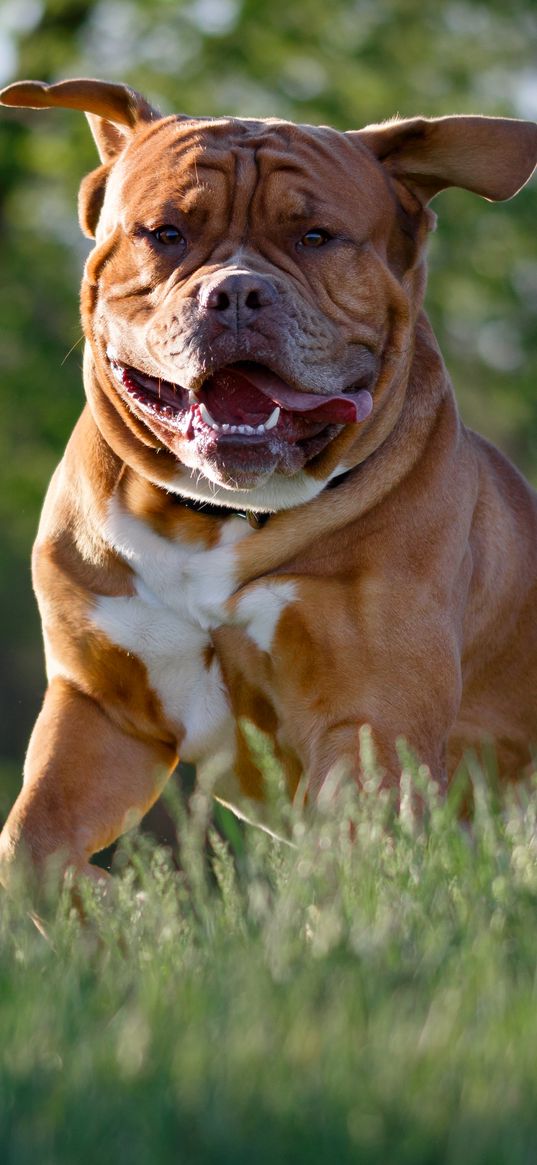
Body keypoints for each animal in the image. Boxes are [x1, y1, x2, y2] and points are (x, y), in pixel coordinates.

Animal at [1, 79, 535, 880]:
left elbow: (346, 867)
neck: (217, 515)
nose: (237, 294)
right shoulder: (101, 708)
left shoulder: (369, 722)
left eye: (315, 236)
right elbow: (29, 842)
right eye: (166, 233)